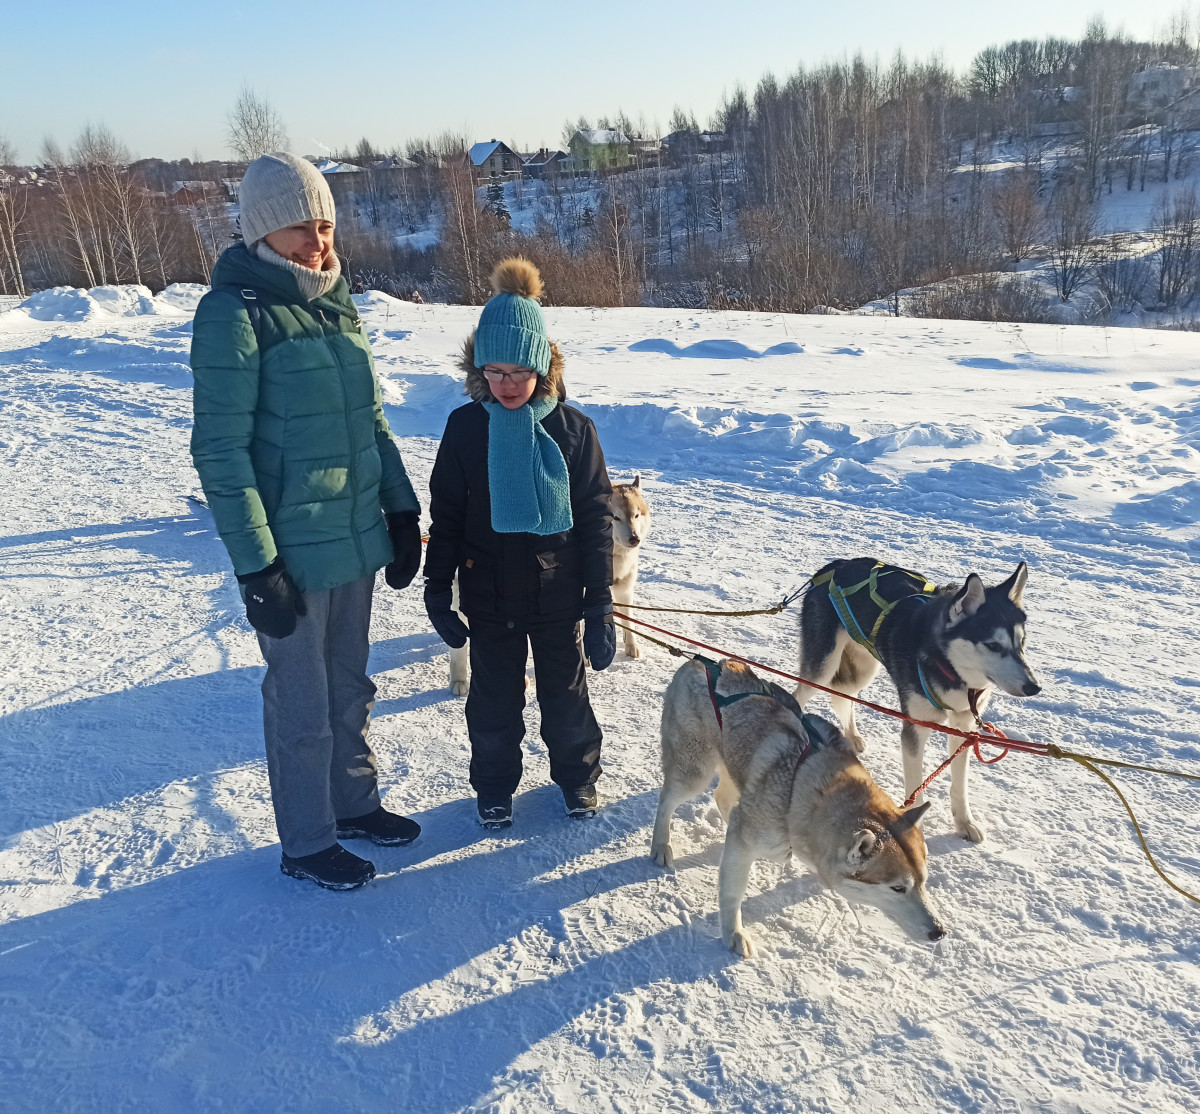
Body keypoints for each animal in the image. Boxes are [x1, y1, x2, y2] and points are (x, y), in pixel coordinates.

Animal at [652, 662, 940, 955]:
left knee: (723, 798)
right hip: (694, 773)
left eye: (923, 881)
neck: (801, 790)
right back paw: (661, 846)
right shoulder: (747, 841)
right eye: (897, 888)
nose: (939, 931)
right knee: (667, 801)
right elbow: (732, 893)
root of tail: (700, 662)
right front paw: (733, 932)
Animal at [792, 557, 1036, 845]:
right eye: (993, 645)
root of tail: (837, 564)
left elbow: (959, 785)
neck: (949, 668)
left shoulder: (964, 728)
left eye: (1022, 642)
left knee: (844, 698)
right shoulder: (915, 729)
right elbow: (915, 787)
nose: (1034, 687)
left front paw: (965, 822)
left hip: (863, 669)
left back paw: (852, 736)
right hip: (823, 666)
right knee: (799, 695)